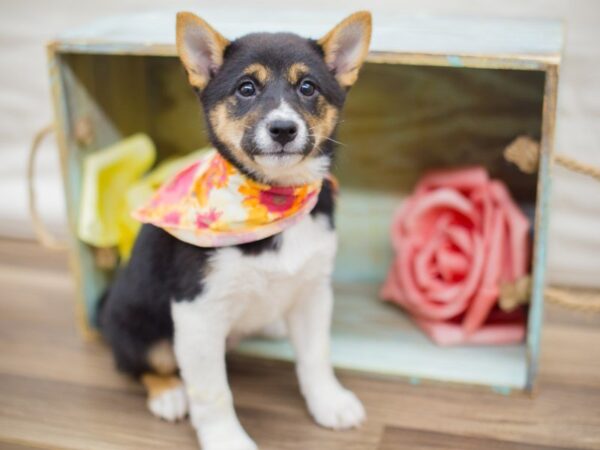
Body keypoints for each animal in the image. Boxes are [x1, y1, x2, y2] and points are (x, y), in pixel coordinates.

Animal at [99, 11, 370, 450]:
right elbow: (213, 392)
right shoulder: (197, 312)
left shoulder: (313, 291)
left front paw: (329, 402)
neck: (273, 199)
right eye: (246, 88)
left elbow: (316, 356)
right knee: (139, 361)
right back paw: (168, 394)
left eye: (307, 87)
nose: (283, 129)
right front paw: (226, 438)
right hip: (140, 327)